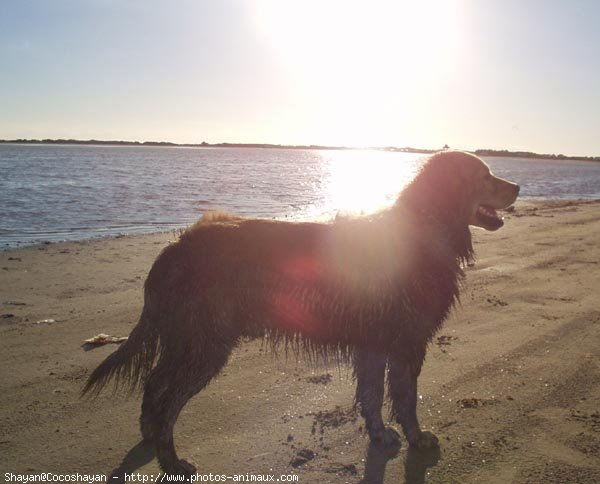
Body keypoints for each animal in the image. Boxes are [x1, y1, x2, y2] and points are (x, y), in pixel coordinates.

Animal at [84, 150, 520, 472]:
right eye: (484, 176)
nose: (517, 186)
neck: (423, 231)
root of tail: (176, 248)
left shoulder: (374, 341)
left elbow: (372, 395)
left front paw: (379, 435)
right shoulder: (406, 340)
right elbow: (406, 398)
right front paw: (418, 438)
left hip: (189, 338)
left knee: (155, 383)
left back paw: (148, 435)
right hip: (205, 343)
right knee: (167, 398)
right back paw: (171, 459)